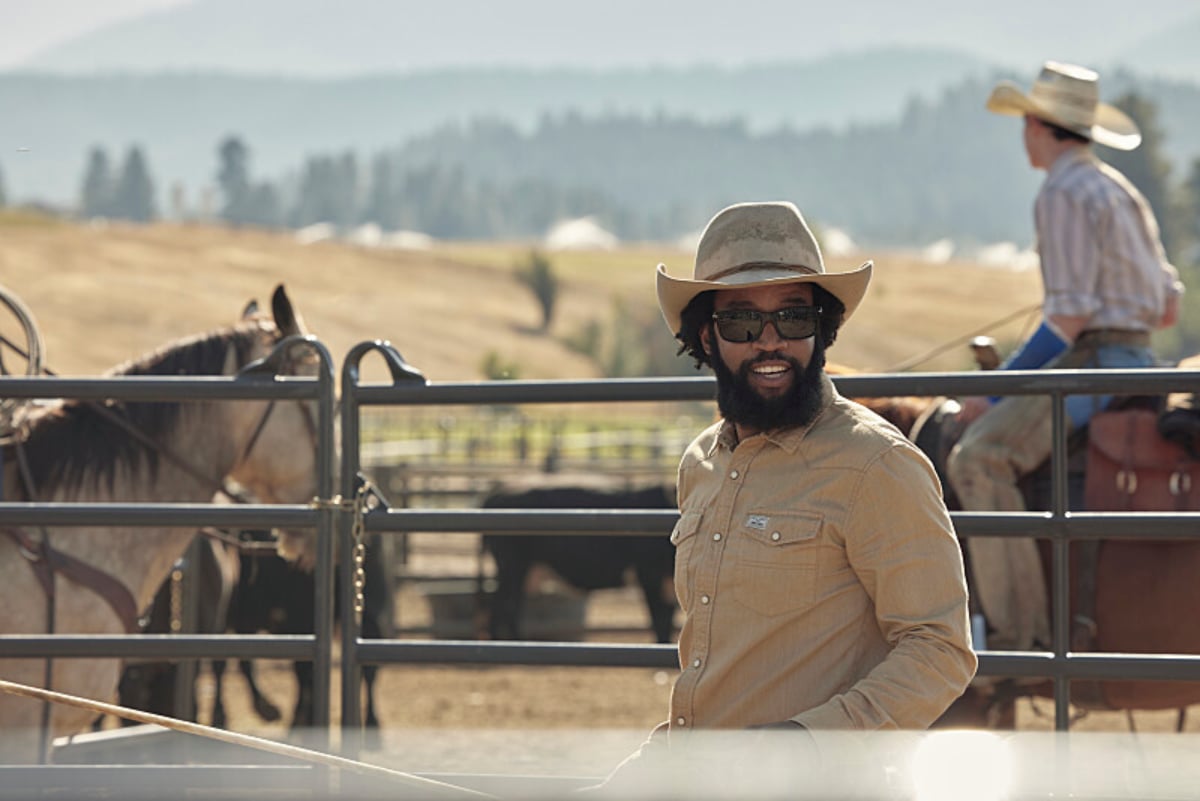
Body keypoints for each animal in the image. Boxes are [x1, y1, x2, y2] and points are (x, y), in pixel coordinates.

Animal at [482, 482, 681, 642]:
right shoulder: (649, 574)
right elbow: (659, 619)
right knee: (505, 603)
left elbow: (668, 618)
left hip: (524, 570)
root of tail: (499, 492)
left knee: (510, 603)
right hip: (512, 567)